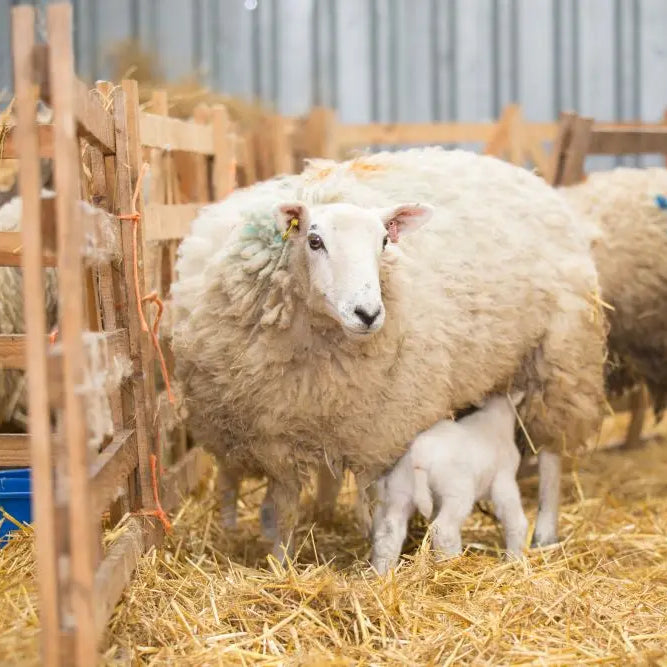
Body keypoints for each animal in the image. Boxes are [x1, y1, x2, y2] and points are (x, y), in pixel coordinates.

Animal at [370, 392, 528, 576]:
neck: (495, 416)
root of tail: (419, 453)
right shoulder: (504, 479)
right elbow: (514, 519)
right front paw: (514, 559)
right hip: (457, 491)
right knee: (444, 529)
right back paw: (452, 563)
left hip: (401, 489)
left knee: (390, 531)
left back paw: (383, 572)